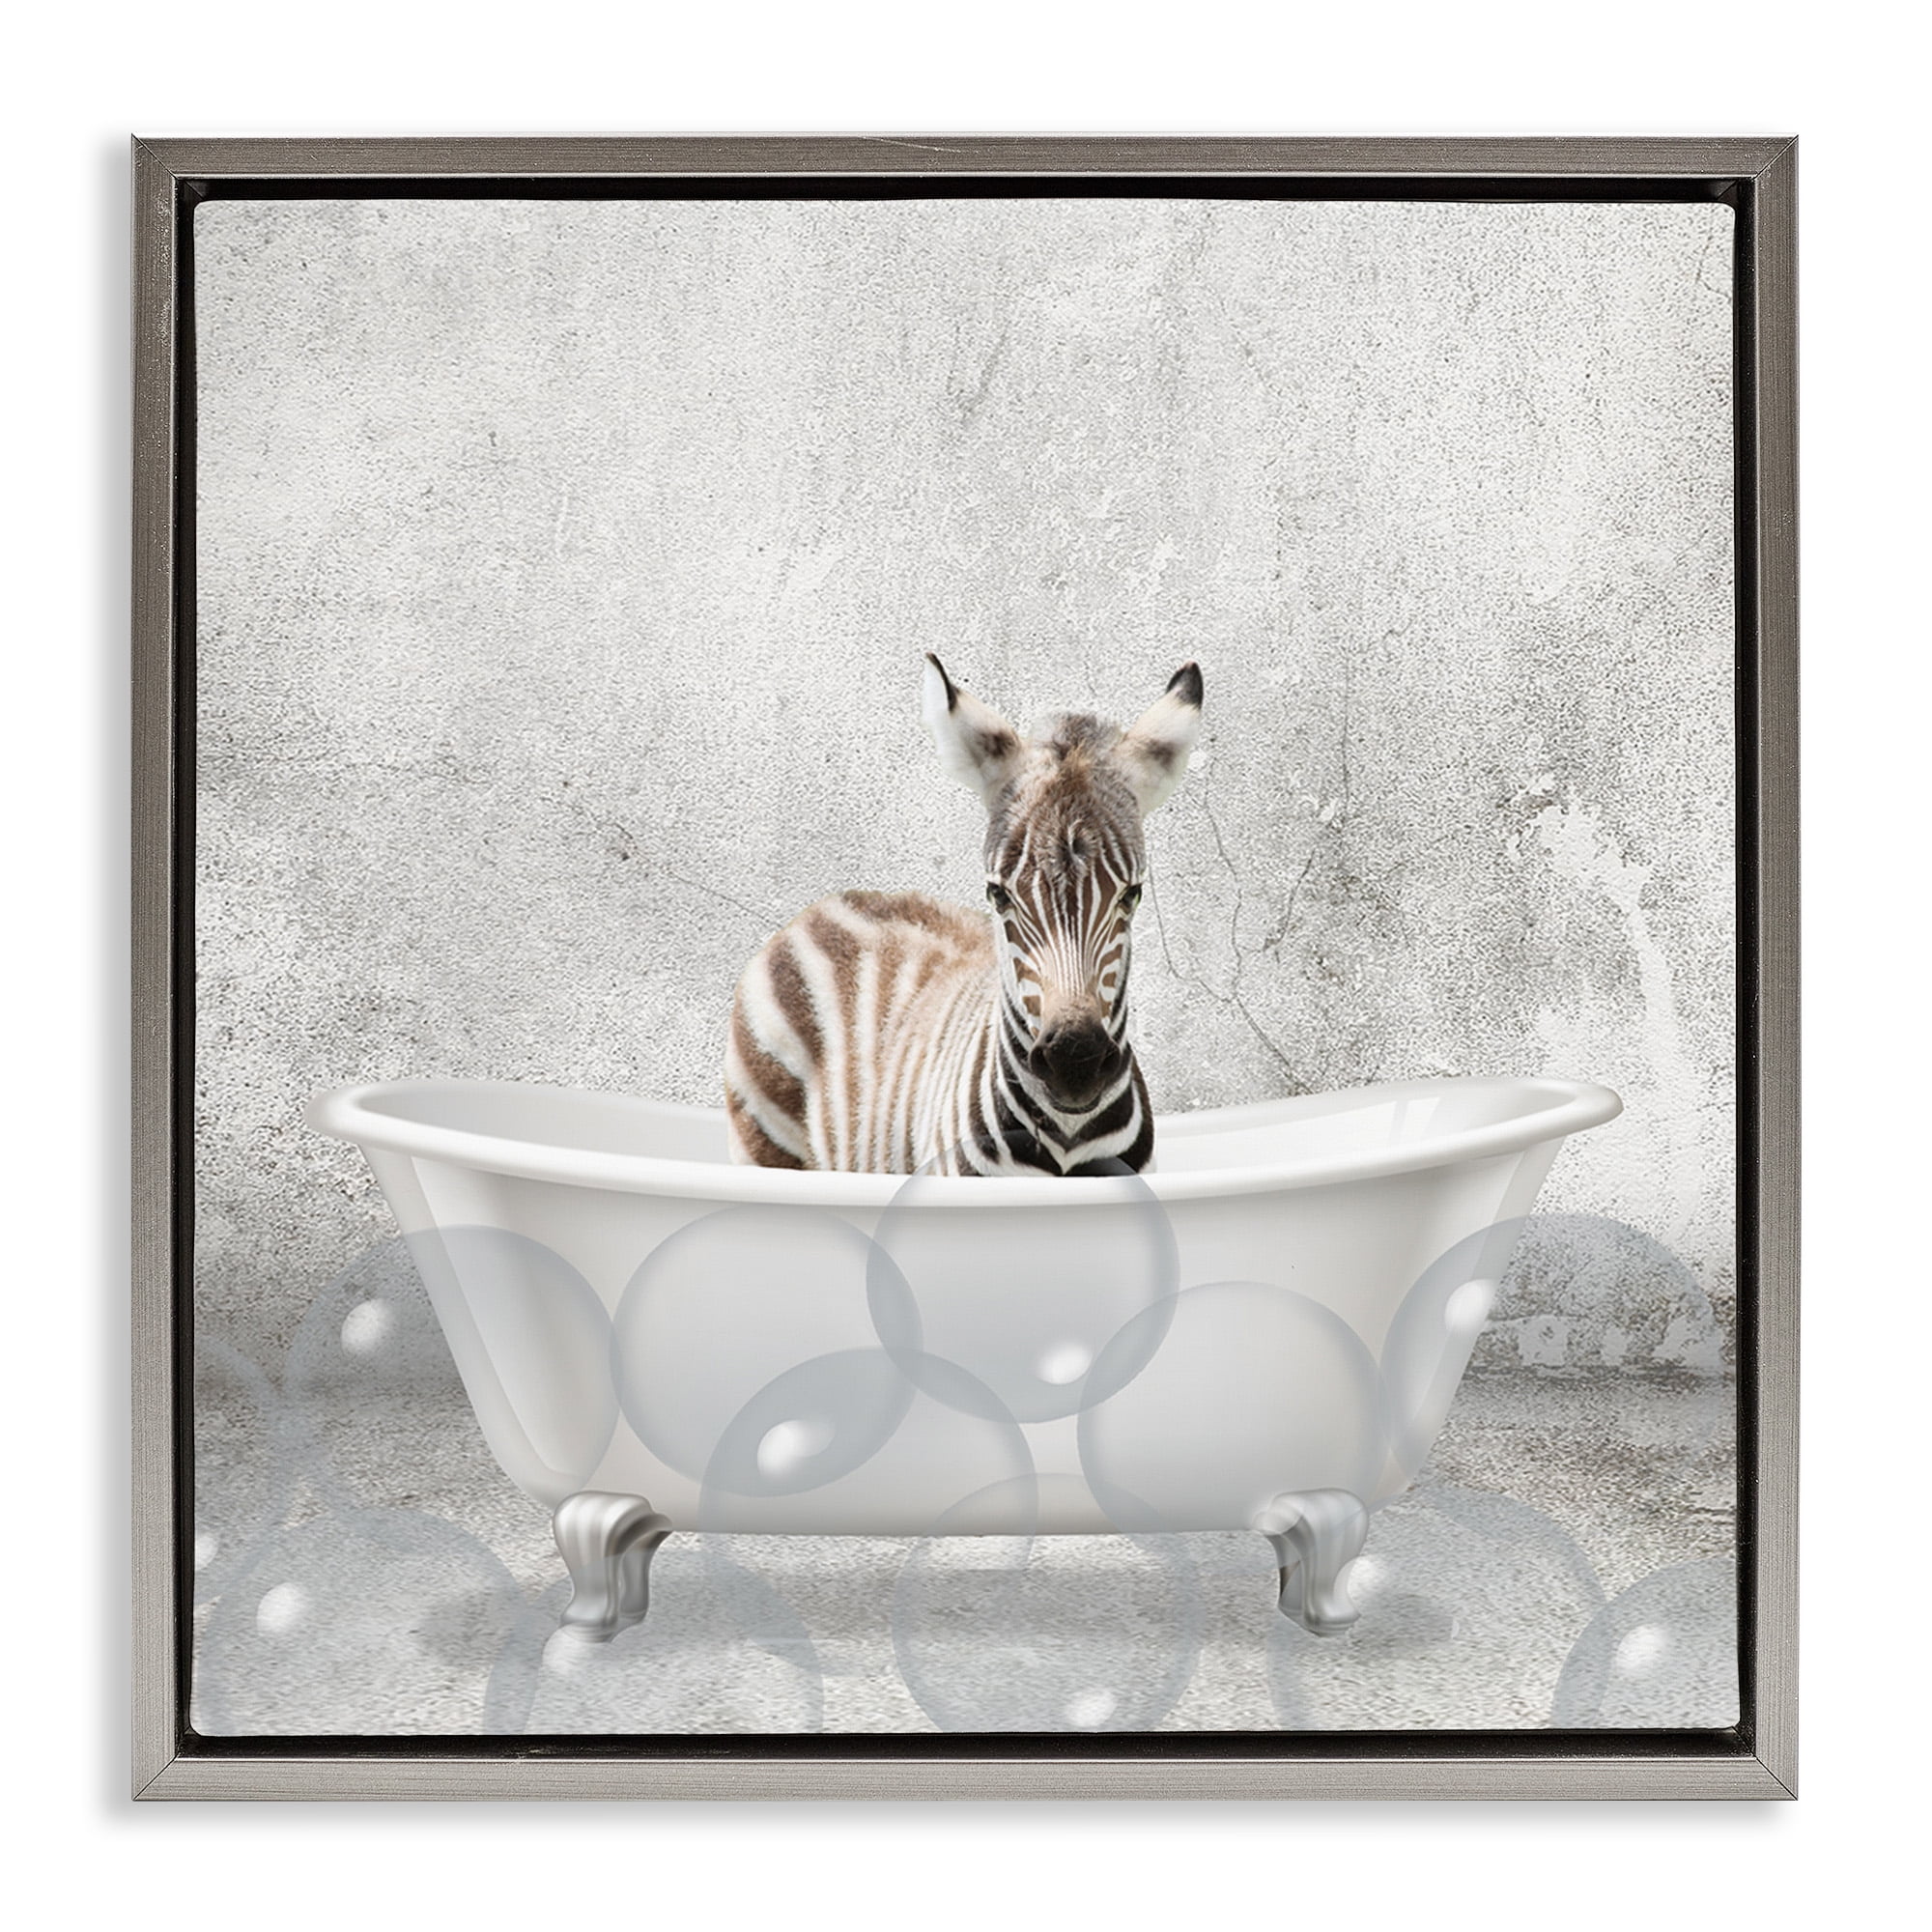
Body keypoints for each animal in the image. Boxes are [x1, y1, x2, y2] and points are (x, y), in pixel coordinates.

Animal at [724, 656, 1202, 1175]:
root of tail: (826, 903)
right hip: (765, 1139)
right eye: (998, 895)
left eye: (1131, 895)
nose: (1074, 1063)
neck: (1067, 1137)